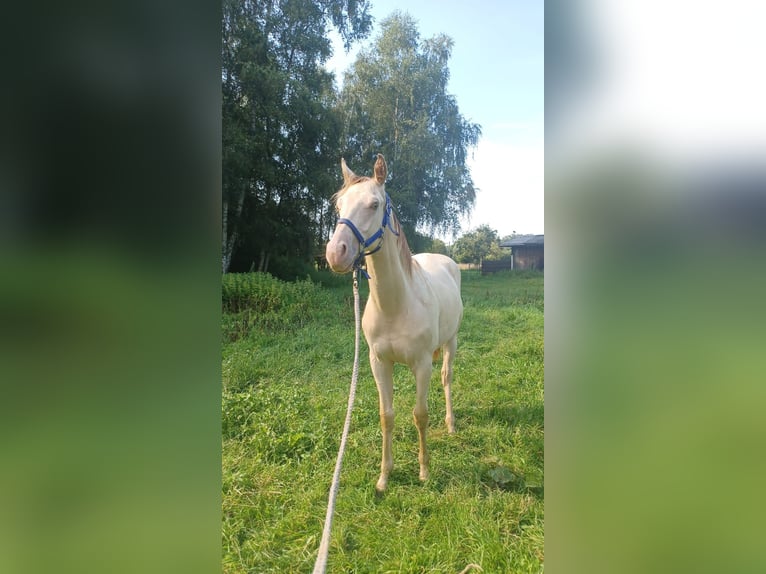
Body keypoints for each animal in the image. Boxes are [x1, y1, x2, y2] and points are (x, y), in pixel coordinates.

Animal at [324, 154, 462, 496]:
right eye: (339, 205)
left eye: (374, 204)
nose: (335, 253)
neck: (396, 305)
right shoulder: (378, 363)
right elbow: (387, 416)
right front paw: (385, 476)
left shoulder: (422, 364)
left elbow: (420, 415)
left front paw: (424, 471)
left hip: (451, 342)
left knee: (447, 377)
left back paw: (451, 424)